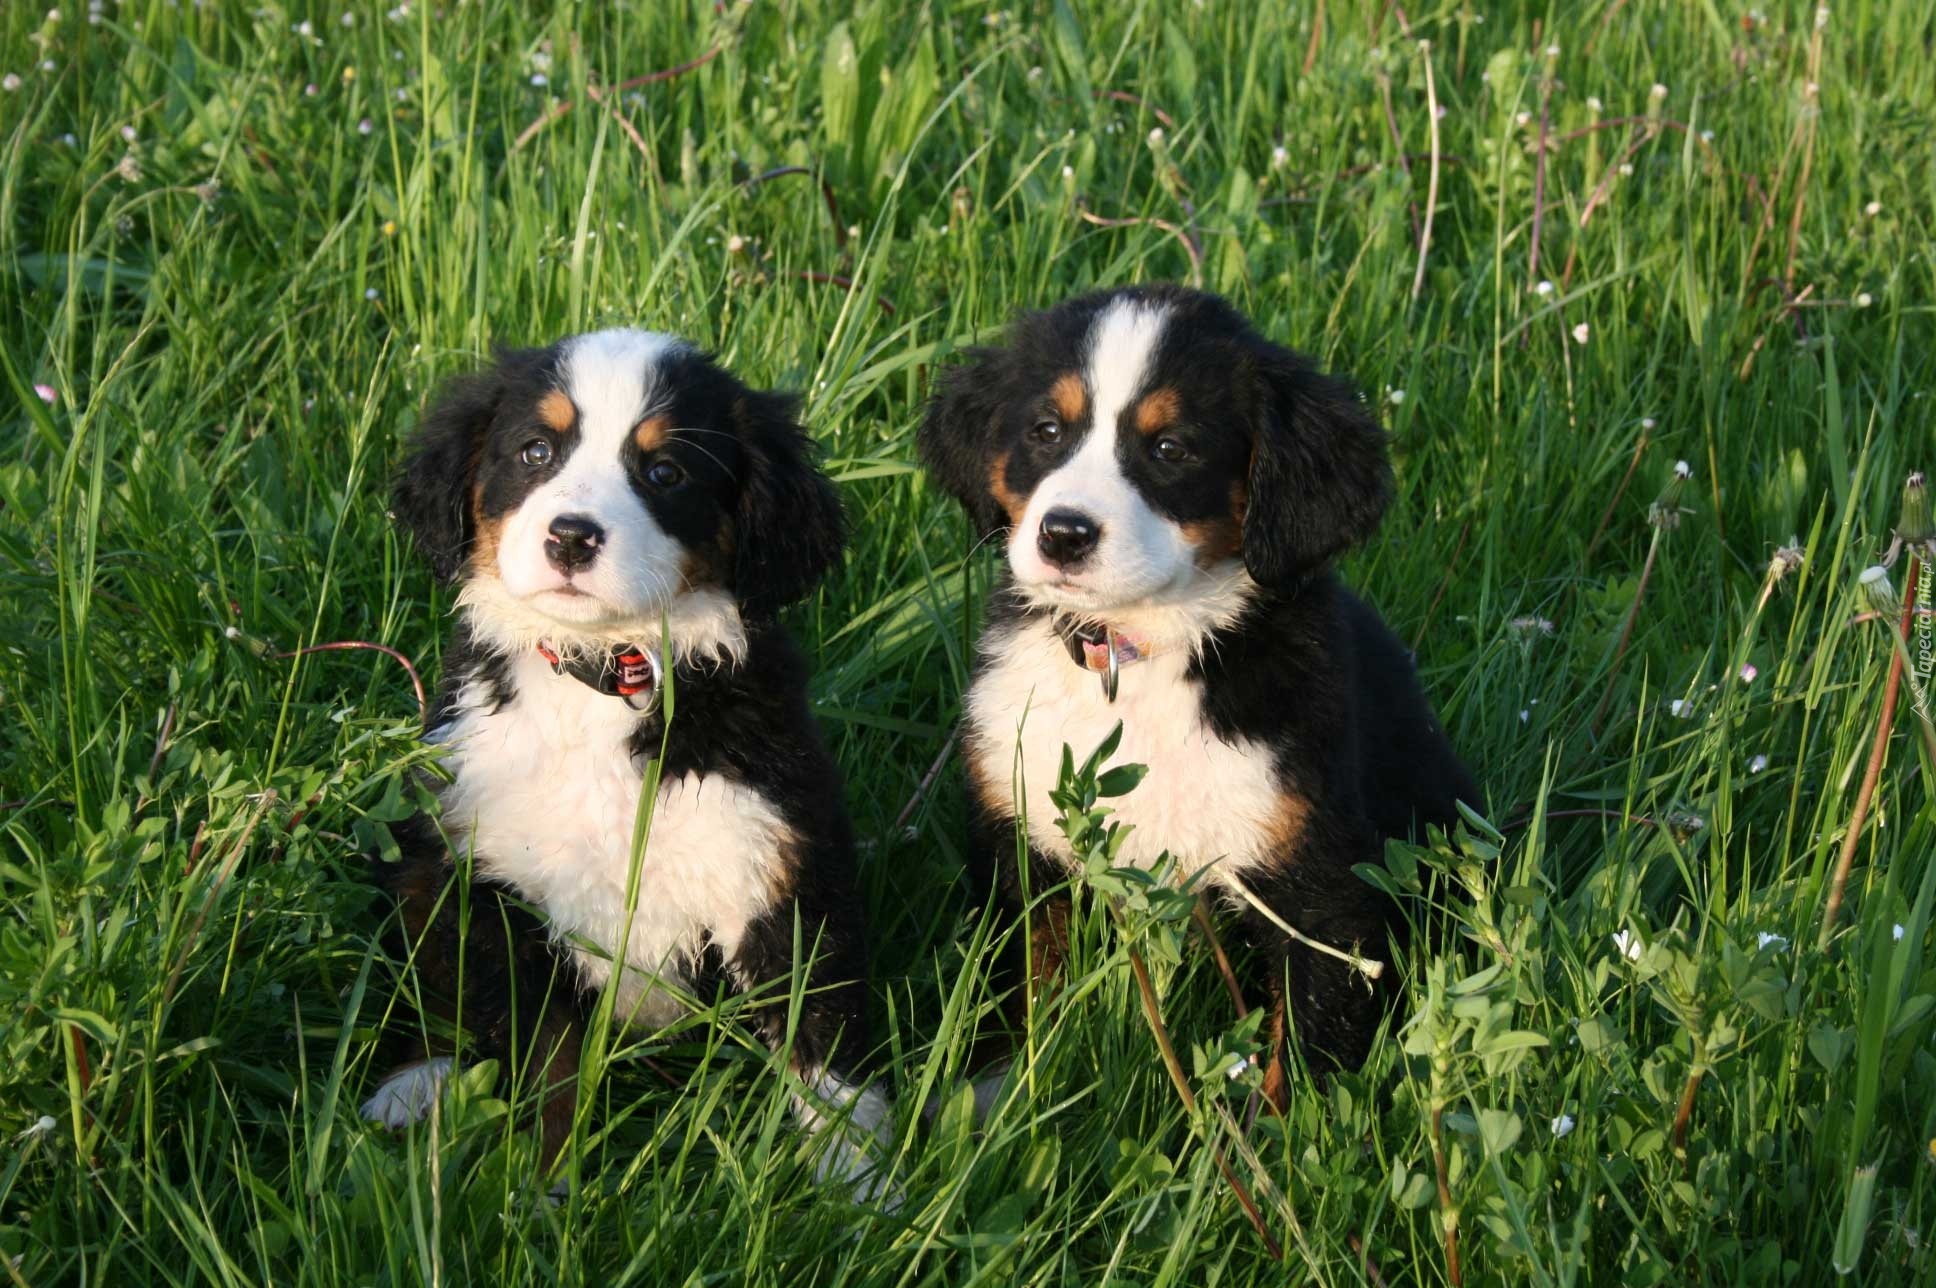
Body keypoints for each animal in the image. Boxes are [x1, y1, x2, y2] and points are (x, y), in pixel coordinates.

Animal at [363, 327, 890, 1193]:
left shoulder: (777, 867)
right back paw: (414, 1082)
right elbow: (548, 1057)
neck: (608, 675)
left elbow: (822, 1044)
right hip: (426, 860)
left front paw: (863, 1185)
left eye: (665, 472)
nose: (571, 536)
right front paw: (548, 1186)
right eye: (536, 451)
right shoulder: (500, 893)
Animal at [921, 286, 1479, 1100]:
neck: (1140, 656)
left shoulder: (1319, 885)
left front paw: (1281, 1132)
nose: (1064, 534)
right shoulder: (1020, 841)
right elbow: (1018, 985)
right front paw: (999, 1095)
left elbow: (1304, 1054)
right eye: (1046, 431)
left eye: (1170, 449)